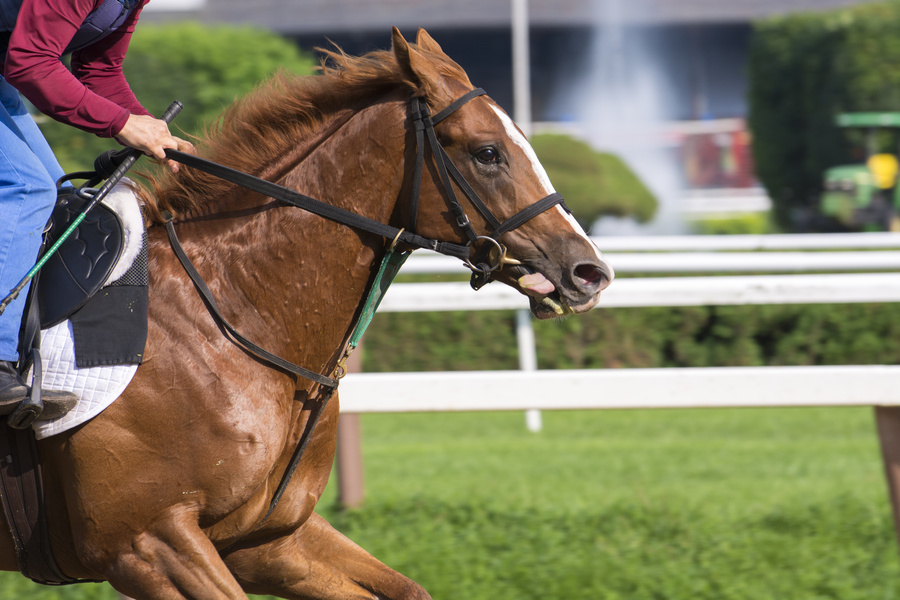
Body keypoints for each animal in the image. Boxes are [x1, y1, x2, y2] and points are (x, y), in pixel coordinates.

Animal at [0, 28, 612, 600]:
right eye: (488, 152)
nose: (589, 271)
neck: (236, 314)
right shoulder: (146, 543)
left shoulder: (264, 538)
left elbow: (407, 587)